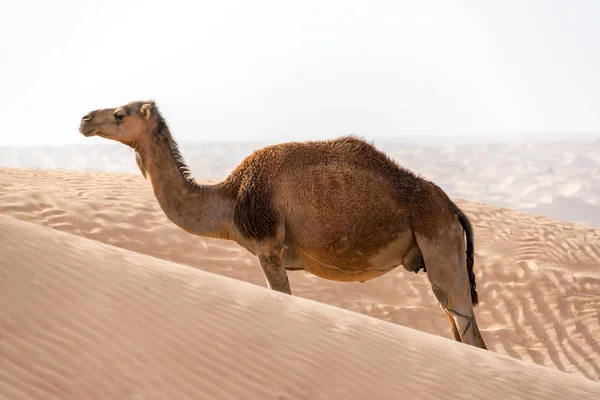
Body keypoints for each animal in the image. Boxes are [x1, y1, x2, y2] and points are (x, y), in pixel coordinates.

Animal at [78, 101, 488, 350]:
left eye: (119, 114)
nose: (85, 119)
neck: (231, 198)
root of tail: (453, 209)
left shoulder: (268, 248)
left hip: (439, 242)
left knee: (465, 324)